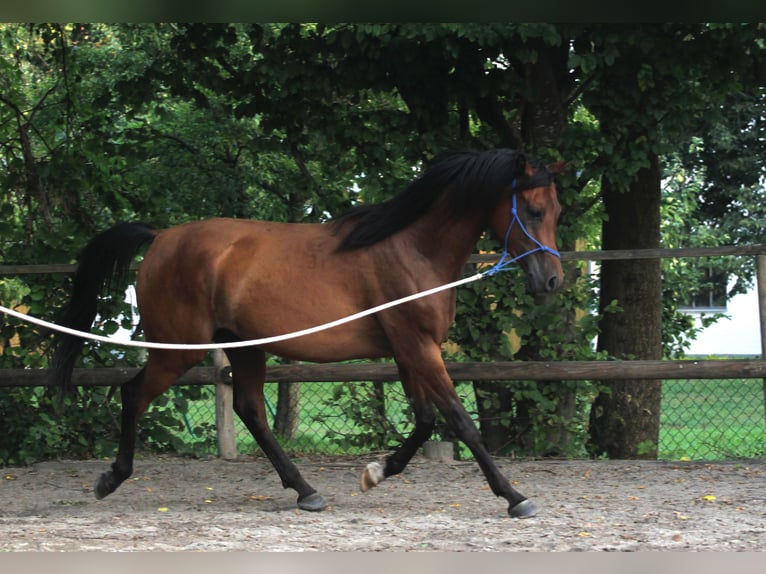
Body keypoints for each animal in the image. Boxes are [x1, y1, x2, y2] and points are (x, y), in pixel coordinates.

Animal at [48, 148, 564, 518]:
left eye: (556, 210)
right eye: (533, 210)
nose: (552, 282)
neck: (411, 247)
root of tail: (160, 238)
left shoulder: (409, 350)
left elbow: (424, 421)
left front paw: (376, 472)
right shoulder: (418, 346)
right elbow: (460, 420)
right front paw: (515, 497)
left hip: (245, 347)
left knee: (250, 409)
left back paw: (305, 491)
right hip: (179, 350)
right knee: (133, 394)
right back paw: (111, 478)